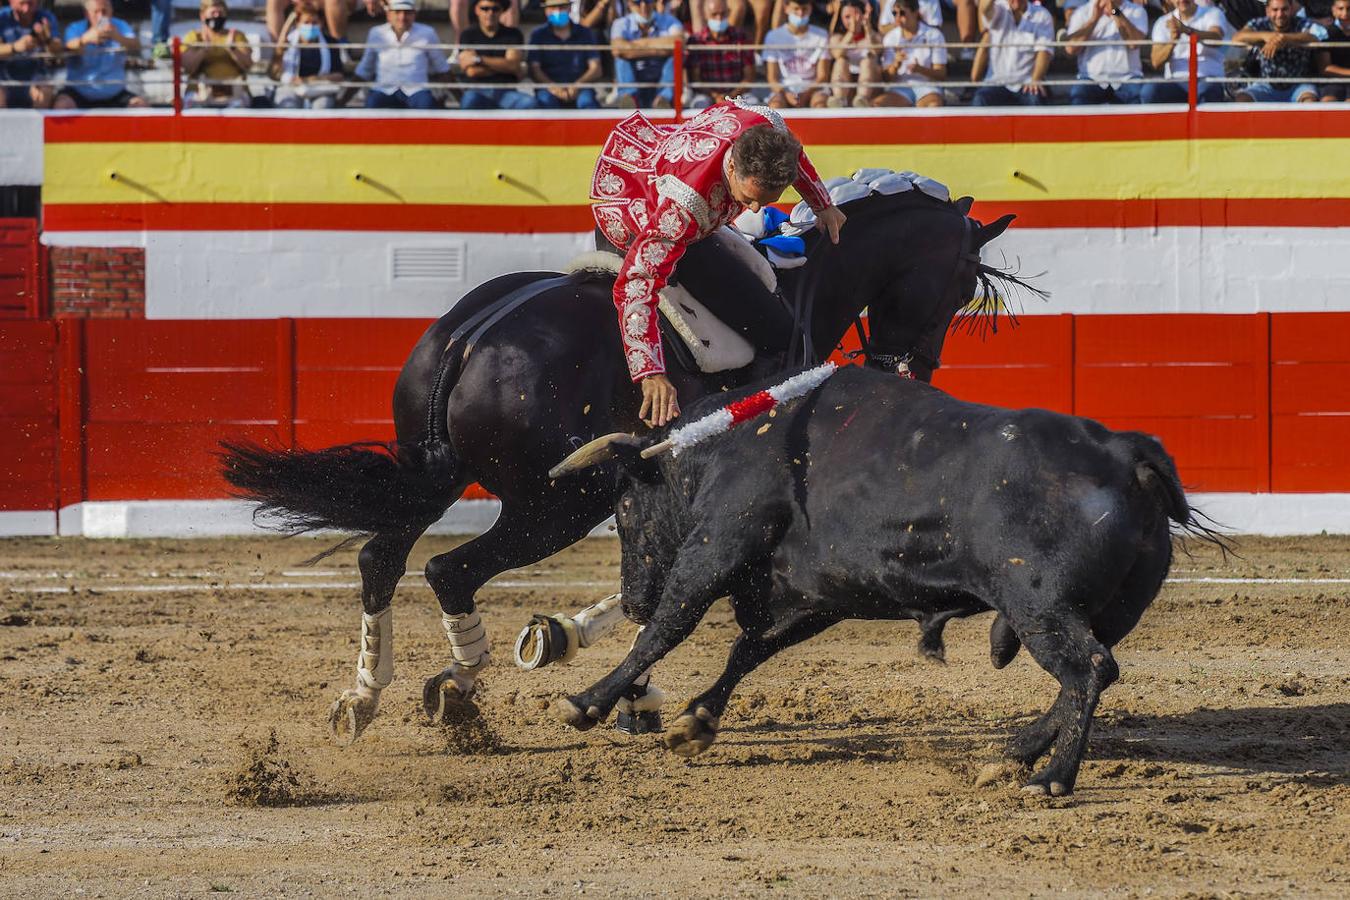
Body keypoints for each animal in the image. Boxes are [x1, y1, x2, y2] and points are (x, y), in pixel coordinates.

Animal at [224, 186, 1031, 744]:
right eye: (960, 285)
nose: (914, 370)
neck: (806, 284)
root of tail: (468, 341)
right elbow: (663, 584)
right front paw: (579, 654)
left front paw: (586, 658)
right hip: (556, 505)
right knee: (449, 569)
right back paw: (458, 689)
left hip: (440, 478)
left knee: (381, 558)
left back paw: (365, 697)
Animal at [548, 367, 1215, 793]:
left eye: (624, 505)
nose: (633, 598)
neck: (723, 448)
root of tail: (1126, 454)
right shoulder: (818, 594)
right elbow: (750, 648)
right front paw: (698, 721)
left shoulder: (714, 547)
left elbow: (667, 630)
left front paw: (585, 702)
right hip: (1103, 611)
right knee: (1094, 671)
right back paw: (1011, 754)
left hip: (1039, 606)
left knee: (1087, 669)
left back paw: (1050, 779)